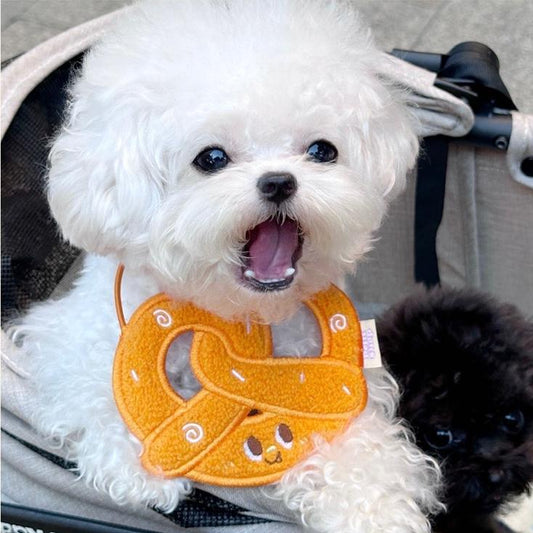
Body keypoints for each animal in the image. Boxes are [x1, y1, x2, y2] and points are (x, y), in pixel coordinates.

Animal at [14, 0, 442, 528]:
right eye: (211, 158)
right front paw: (136, 461)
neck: (238, 313)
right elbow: (93, 381)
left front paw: (372, 506)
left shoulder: (345, 380)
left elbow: (360, 443)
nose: (278, 181)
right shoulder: (67, 338)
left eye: (322, 150)